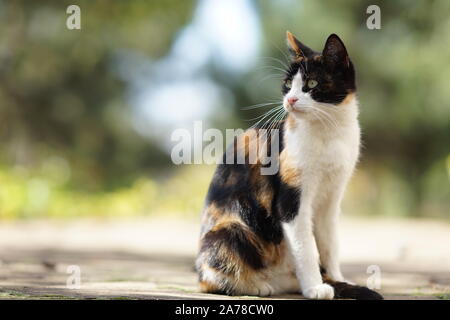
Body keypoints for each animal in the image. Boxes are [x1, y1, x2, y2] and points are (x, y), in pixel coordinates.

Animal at [195, 31, 382, 298]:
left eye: (311, 84)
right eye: (287, 84)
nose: (291, 99)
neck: (328, 132)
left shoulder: (331, 199)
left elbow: (329, 244)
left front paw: (336, 278)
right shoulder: (291, 200)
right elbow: (306, 245)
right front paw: (315, 287)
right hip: (230, 229)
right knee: (210, 278)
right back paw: (257, 285)